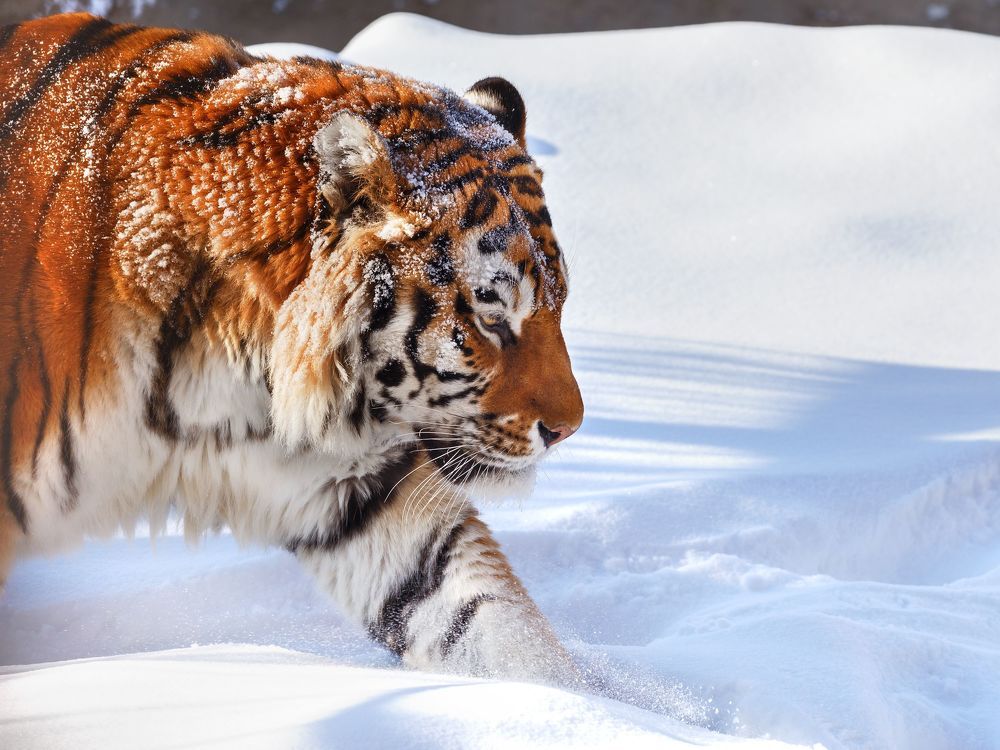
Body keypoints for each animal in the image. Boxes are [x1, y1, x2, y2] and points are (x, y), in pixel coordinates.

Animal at [0, 13, 585, 684]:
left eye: (559, 303)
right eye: (492, 317)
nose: (567, 429)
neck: (238, 367)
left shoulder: (351, 482)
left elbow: (484, 616)